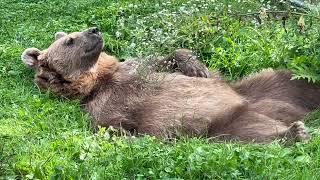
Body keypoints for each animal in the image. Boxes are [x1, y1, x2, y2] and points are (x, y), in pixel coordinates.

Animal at [21, 27, 318, 143]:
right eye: (69, 40)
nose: (94, 30)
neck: (97, 80)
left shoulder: (134, 68)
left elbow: (165, 60)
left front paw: (195, 66)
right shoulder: (99, 105)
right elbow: (110, 125)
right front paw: (130, 136)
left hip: (261, 86)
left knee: (295, 81)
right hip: (222, 127)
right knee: (250, 134)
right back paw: (295, 132)